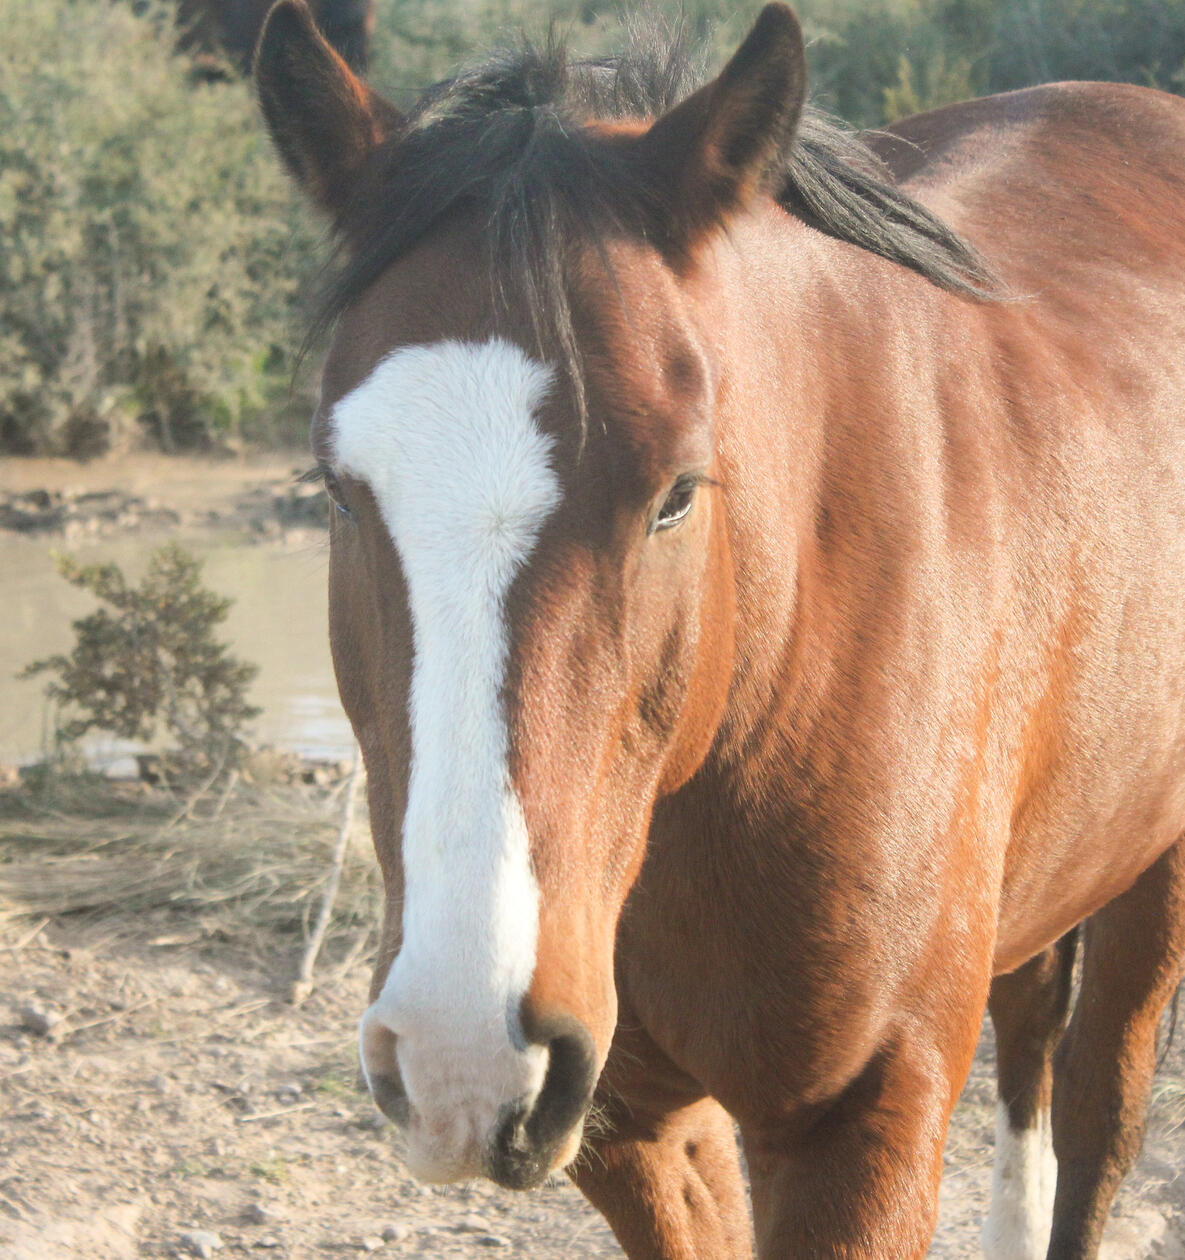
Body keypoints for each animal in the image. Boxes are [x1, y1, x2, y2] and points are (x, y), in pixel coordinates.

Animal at [255, 2, 1185, 1255]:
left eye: (679, 493)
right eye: (340, 489)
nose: (463, 1053)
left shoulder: (866, 1127)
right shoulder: (636, 1127)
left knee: (1099, 1106)